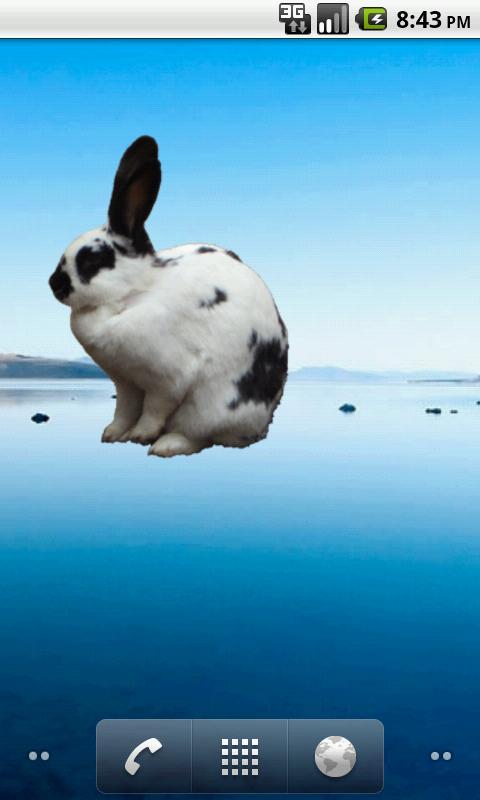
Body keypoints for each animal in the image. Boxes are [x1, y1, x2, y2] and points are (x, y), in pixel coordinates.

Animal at [49, 136, 288, 457]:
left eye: (92, 260)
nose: (54, 284)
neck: (131, 294)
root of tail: (263, 425)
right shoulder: (126, 383)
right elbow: (125, 409)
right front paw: (113, 434)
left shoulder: (167, 379)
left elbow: (154, 409)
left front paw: (141, 435)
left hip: (212, 407)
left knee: (201, 436)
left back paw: (166, 444)